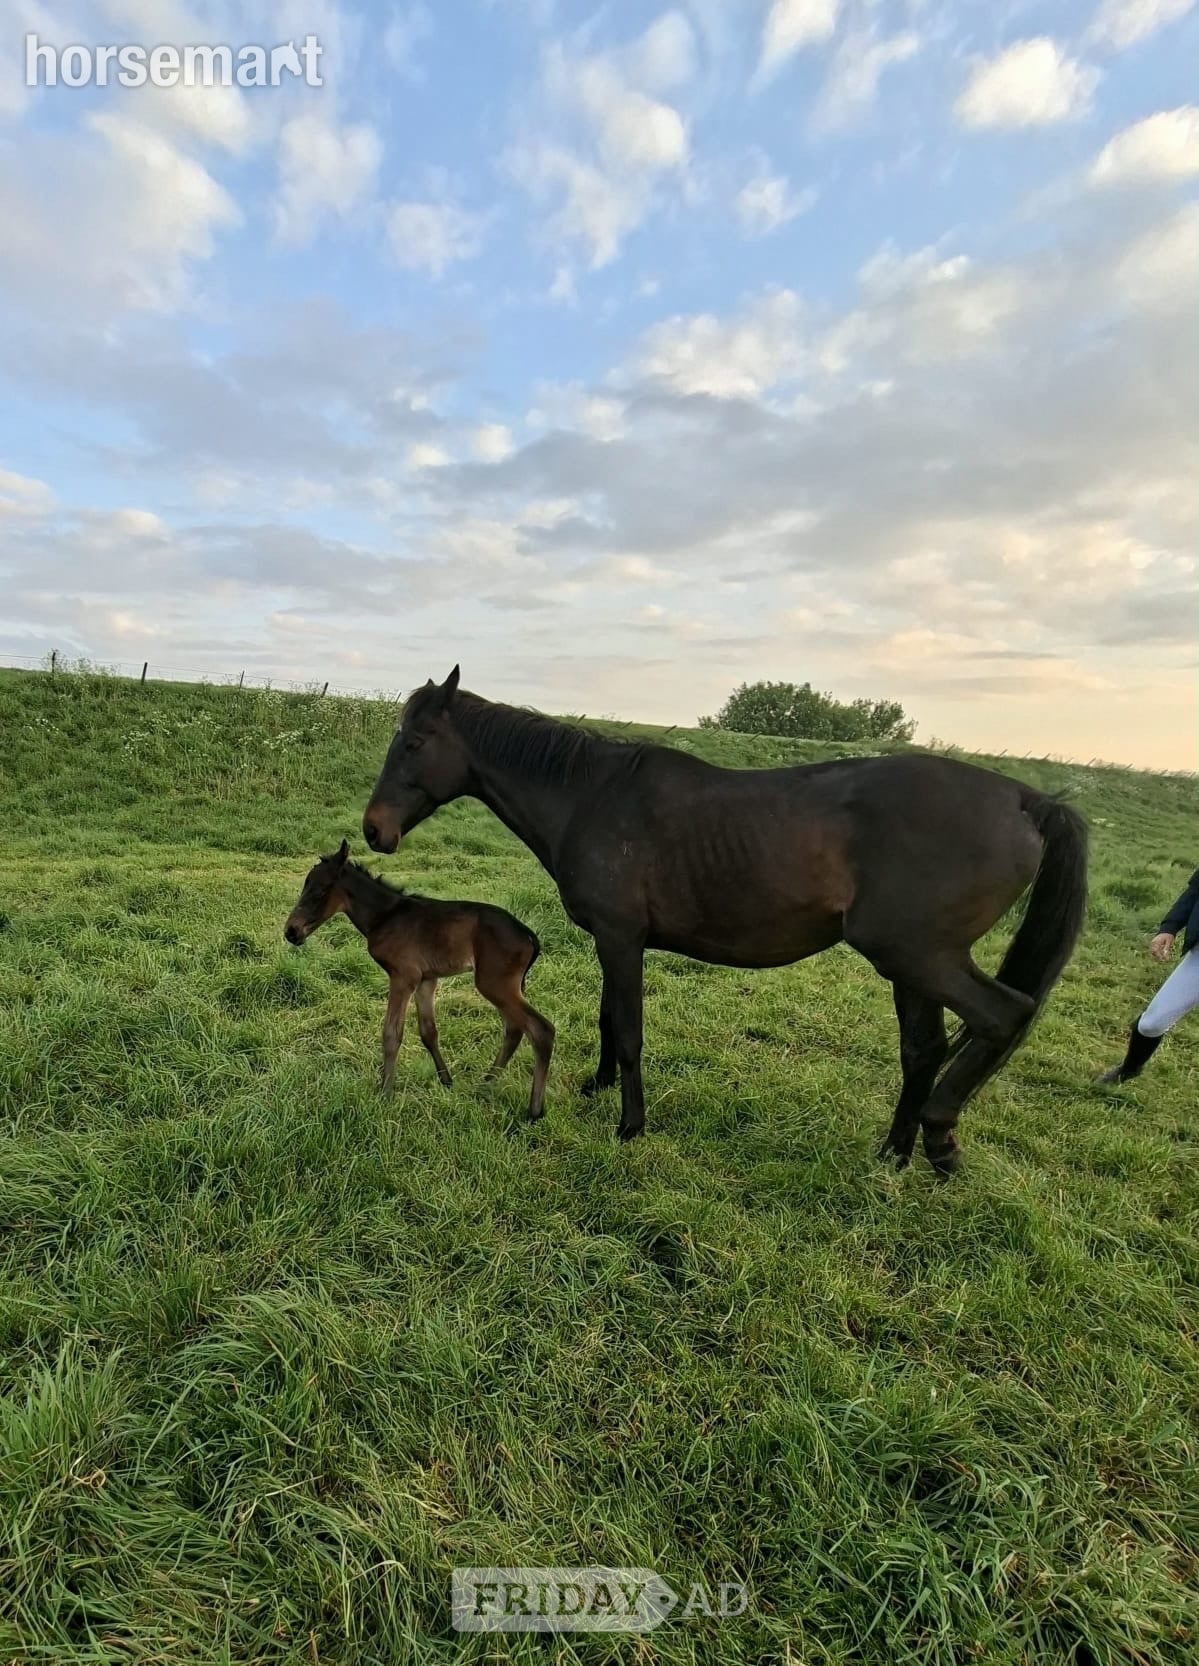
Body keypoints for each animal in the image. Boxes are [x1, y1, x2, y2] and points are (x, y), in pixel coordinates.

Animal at [285, 840, 555, 1118]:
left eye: (320, 891)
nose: (291, 932)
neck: (386, 916)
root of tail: (528, 935)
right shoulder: (426, 979)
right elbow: (428, 1031)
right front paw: (446, 1081)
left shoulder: (403, 977)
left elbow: (392, 1034)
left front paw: (385, 1093)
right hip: (504, 987)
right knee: (514, 1029)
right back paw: (485, 1083)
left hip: (494, 984)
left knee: (541, 1030)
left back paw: (534, 1110)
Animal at [362, 668, 1087, 1173]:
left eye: (415, 742)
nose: (374, 830)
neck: (591, 795)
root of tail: (1026, 800)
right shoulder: (613, 940)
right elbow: (606, 1017)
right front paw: (598, 1088)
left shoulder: (621, 938)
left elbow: (628, 1029)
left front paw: (630, 1125)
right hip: (911, 965)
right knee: (924, 1050)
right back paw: (893, 1155)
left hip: (919, 957)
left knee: (1005, 1015)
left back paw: (939, 1137)